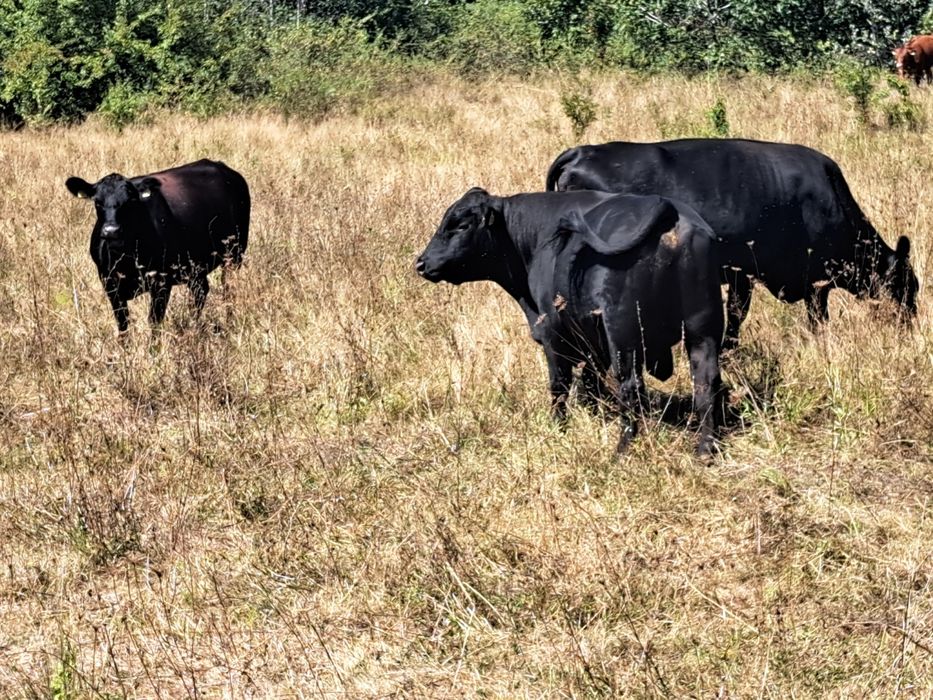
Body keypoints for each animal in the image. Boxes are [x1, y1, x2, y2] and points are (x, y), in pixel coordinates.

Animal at [66, 159, 250, 334]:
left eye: (130, 201)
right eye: (97, 202)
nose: (112, 231)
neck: (125, 259)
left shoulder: (161, 283)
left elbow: (154, 322)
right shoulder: (110, 285)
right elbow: (123, 324)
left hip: (234, 255)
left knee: (229, 289)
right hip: (195, 266)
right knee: (200, 291)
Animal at [416, 188, 725, 456]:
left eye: (461, 226)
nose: (421, 263)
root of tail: (670, 210)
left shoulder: (553, 335)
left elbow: (560, 384)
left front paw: (559, 427)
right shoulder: (592, 343)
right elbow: (590, 382)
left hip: (624, 334)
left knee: (631, 386)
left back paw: (622, 450)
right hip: (702, 329)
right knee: (706, 383)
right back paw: (705, 449)